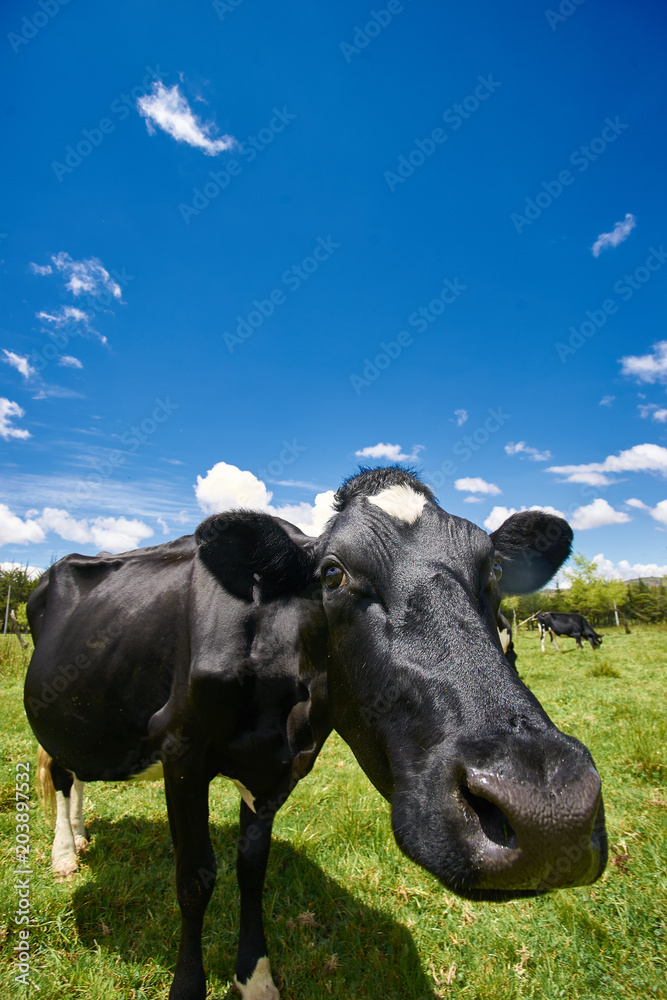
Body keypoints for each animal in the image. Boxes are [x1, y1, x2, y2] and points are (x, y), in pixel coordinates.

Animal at [25, 467, 607, 1000]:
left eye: (495, 571)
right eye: (331, 574)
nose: (548, 808)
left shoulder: (278, 767)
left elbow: (251, 870)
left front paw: (256, 981)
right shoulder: (179, 747)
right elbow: (194, 879)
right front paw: (189, 988)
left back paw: (80, 834)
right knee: (61, 772)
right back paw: (64, 853)